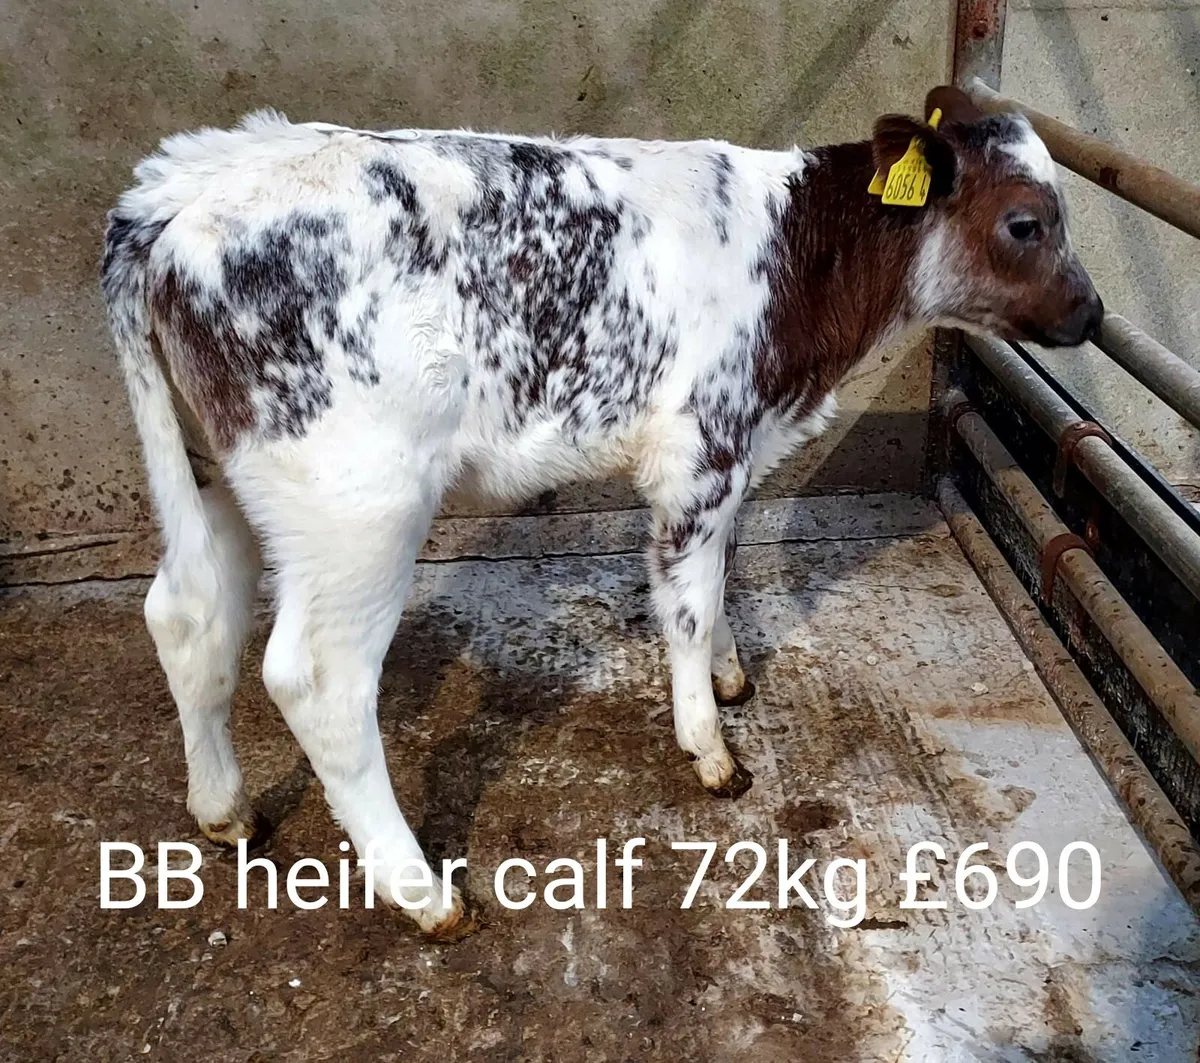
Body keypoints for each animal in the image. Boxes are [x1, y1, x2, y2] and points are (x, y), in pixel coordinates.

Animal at [101, 85, 1101, 935]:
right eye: (1025, 222)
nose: (1091, 312)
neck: (797, 262)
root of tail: (181, 190)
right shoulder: (698, 453)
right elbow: (686, 604)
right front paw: (709, 744)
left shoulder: (730, 458)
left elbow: (718, 577)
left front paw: (731, 676)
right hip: (360, 503)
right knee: (318, 681)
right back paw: (423, 892)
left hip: (225, 474)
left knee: (185, 615)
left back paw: (224, 808)